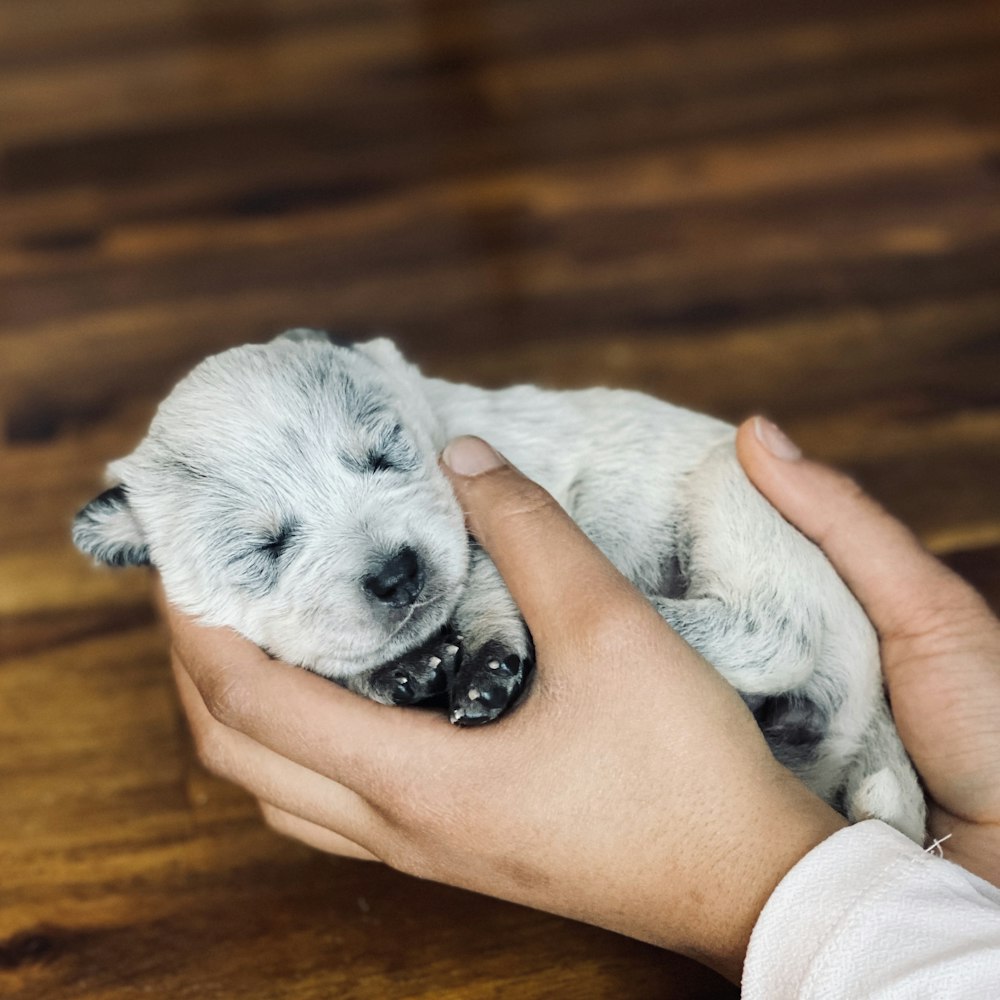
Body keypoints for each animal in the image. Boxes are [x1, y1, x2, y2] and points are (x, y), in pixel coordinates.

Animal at [74, 330, 924, 844]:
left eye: (383, 456)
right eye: (264, 548)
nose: (398, 572)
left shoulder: (484, 514)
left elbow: (485, 579)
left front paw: (484, 660)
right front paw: (401, 671)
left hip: (736, 497)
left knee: (775, 629)